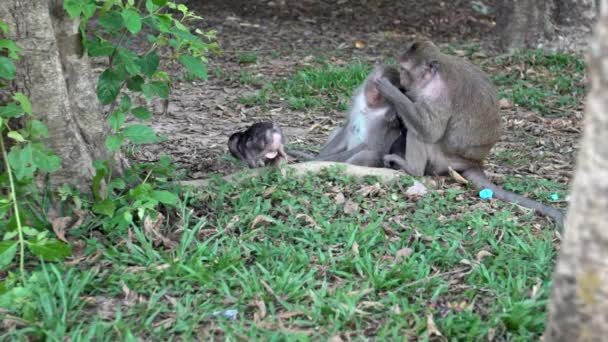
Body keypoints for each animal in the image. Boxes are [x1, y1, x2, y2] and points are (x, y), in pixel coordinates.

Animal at [376, 40, 564, 226]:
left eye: (403, 69)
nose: (401, 79)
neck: (436, 74)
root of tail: (473, 163)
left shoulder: (437, 95)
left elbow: (430, 131)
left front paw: (391, 91)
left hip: (442, 159)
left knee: (420, 134)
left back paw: (412, 169)